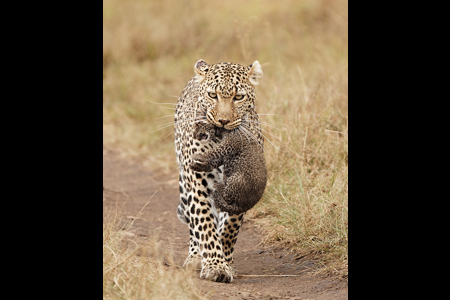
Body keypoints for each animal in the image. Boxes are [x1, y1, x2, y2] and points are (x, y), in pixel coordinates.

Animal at [173, 59, 264, 282]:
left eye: (238, 97)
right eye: (212, 95)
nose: (223, 121)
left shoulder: (243, 179)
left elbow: (230, 227)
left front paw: (225, 261)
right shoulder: (197, 179)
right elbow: (204, 222)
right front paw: (215, 265)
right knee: (194, 223)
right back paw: (195, 257)